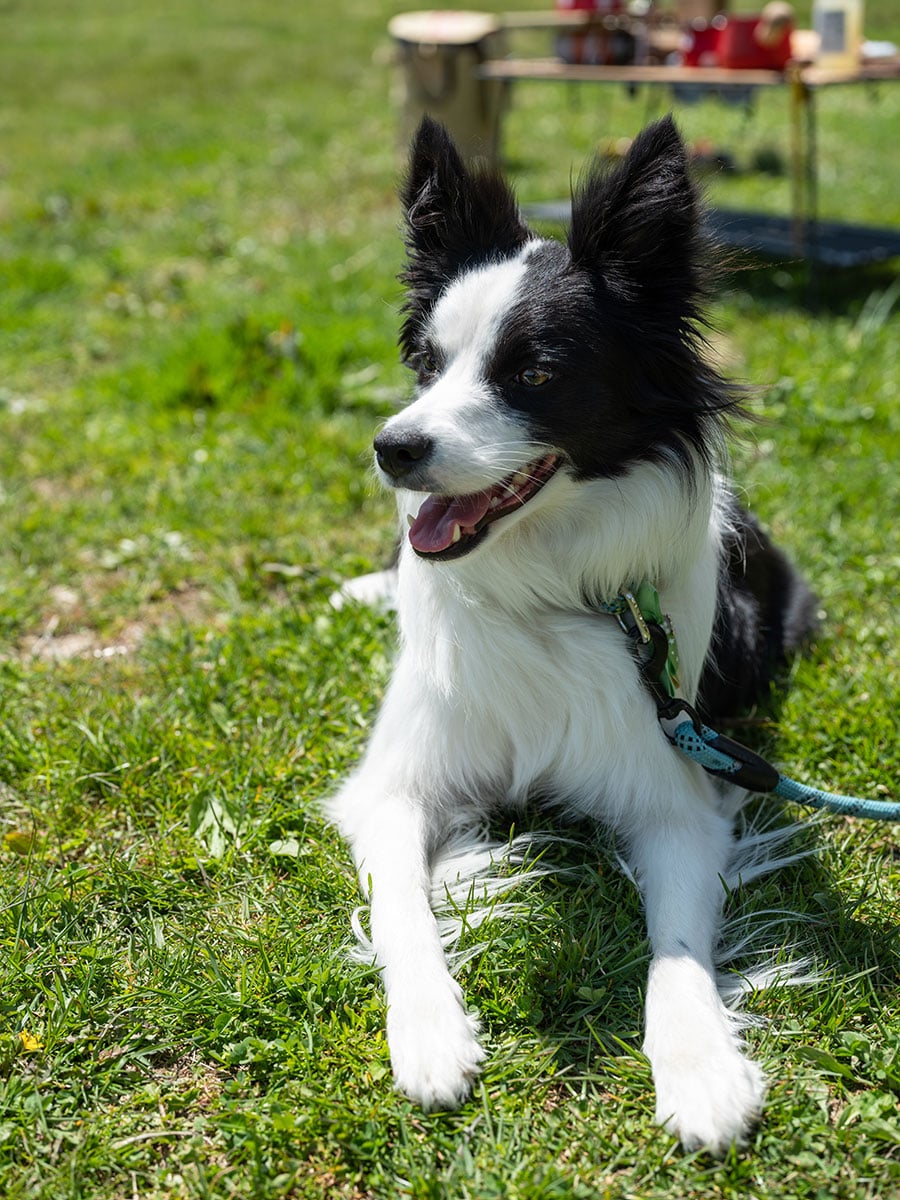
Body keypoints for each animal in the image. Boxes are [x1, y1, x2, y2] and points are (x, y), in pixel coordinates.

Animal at [328, 114, 816, 1152]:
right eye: (426, 364)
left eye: (536, 373)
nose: (393, 449)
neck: (545, 594)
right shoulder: (394, 788)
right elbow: (402, 911)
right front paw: (429, 1035)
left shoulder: (680, 797)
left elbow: (677, 950)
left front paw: (701, 1068)